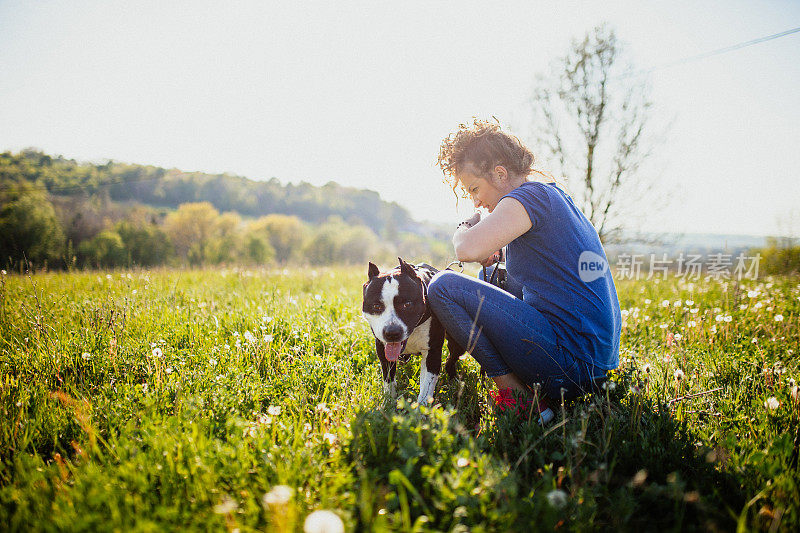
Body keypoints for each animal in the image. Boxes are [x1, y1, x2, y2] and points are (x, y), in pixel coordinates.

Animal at [360, 258, 466, 404]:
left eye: (407, 304)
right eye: (376, 306)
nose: (392, 332)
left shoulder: (432, 352)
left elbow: (426, 386)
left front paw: (421, 408)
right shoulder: (382, 348)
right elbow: (388, 378)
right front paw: (389, 401)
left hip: (458, 342)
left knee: (452, 358)